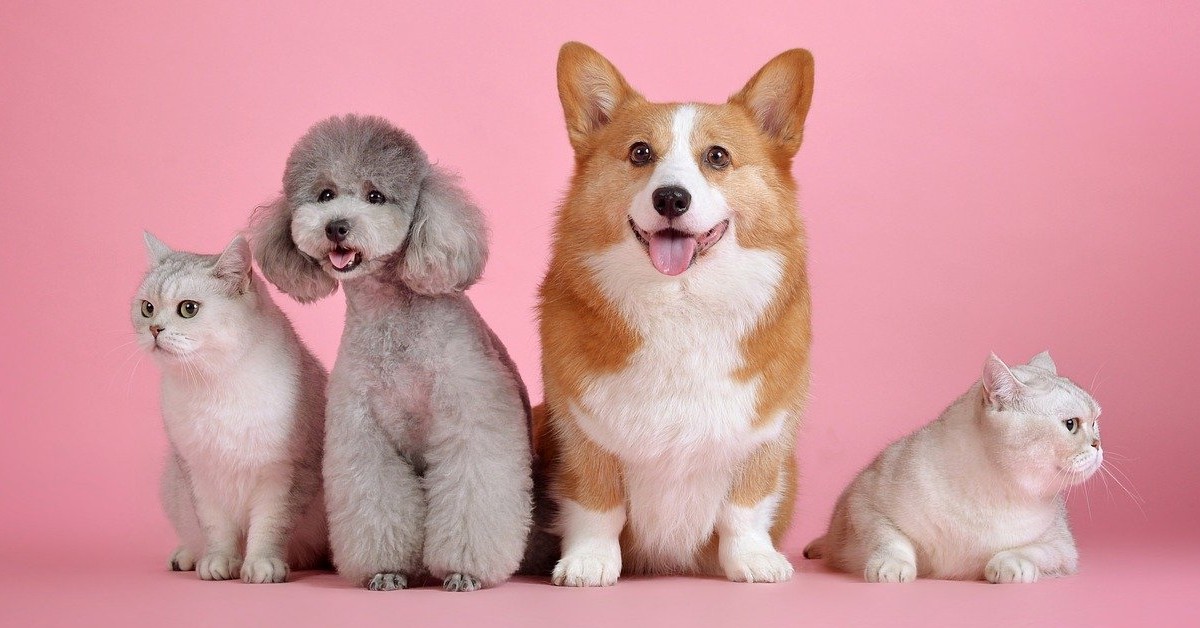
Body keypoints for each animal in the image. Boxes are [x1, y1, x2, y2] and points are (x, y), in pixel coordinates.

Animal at [135, 232, 328, 583]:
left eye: (188, 309)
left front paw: (262, 565)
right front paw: (219, 562)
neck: (214, 384)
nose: (154, 329)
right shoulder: (198, 473)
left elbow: (269, 526)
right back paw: (185, 557)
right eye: (147, 308)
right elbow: (215, 528)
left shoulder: (284, 473)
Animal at [535, 41, 816, 588]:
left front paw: (754, 560)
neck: (681, 303)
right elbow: (597, 505)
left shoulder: (766, 434)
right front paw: (589, 563)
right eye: (640, 152)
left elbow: (744, 507)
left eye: (717, 157)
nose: (670, 198)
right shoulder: (580, 432)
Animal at [801, 353, 1099, 585]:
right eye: (1071, 424)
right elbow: (889, 539)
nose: (1098, 444)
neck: (994, 490)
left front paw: (1008, 566)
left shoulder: (1062, 547)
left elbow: (1030, 551)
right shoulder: (865, 502)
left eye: (1096, 421)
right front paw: (892, 568)